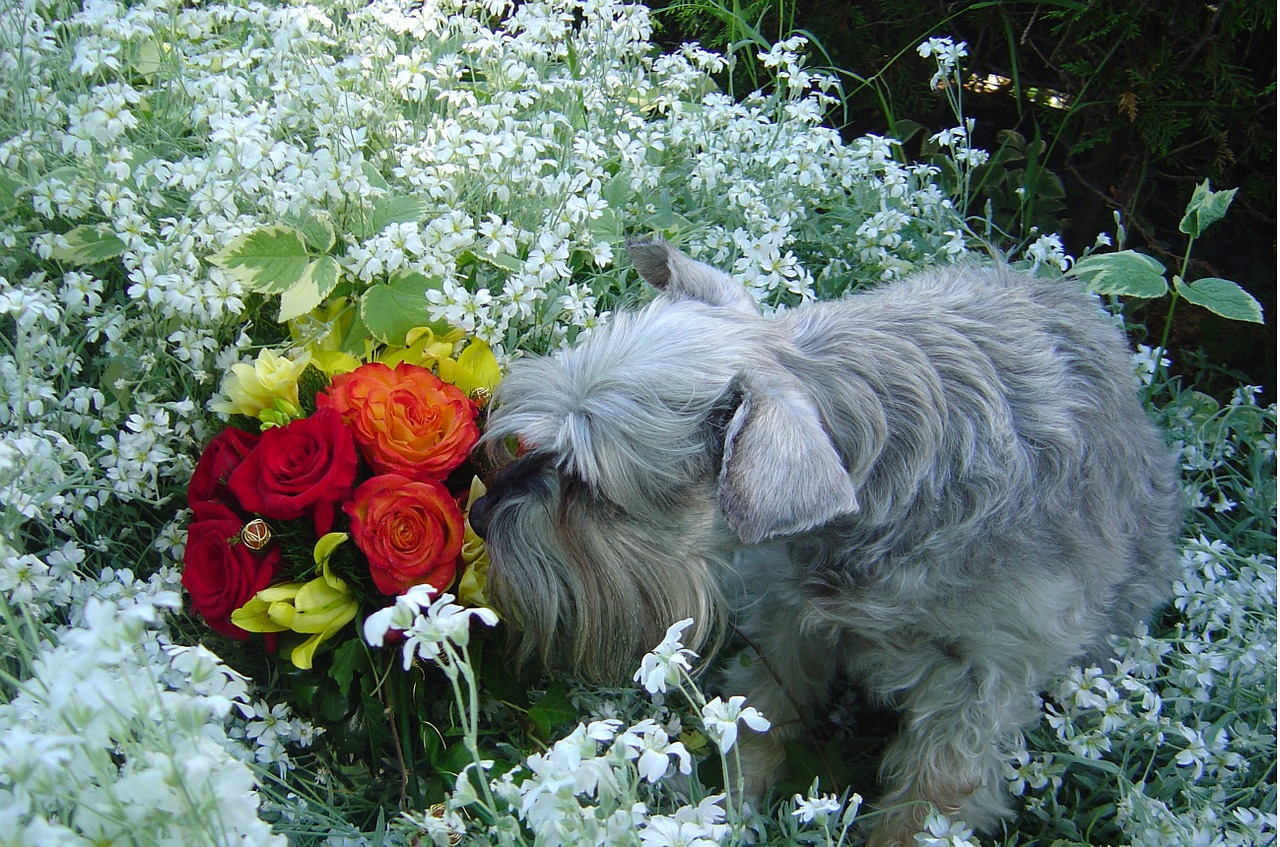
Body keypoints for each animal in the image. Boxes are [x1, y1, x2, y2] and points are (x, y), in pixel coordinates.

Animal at [471, 239, 1177, 847]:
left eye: (591, 489)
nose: (479, 513)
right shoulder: (790, 619)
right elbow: (762, 715)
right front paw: (733, 811)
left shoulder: (981, 682)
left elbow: (930, 798)